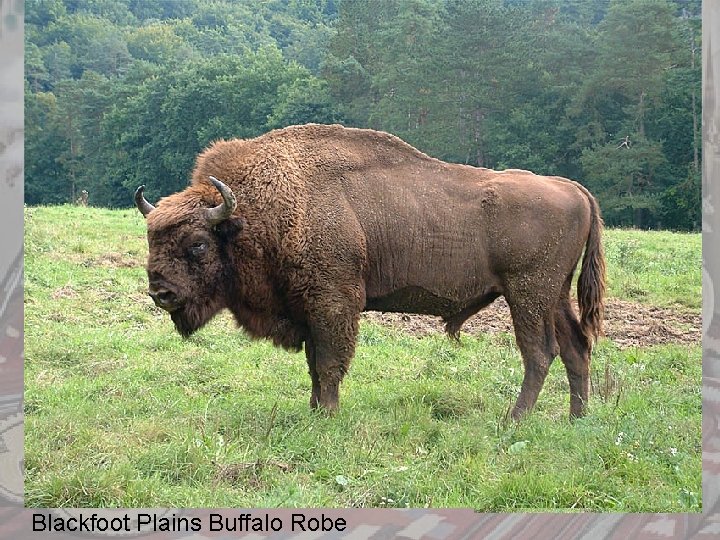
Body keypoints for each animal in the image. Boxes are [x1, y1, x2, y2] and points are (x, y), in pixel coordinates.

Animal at [135, 123, 605, 420]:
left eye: (198, 244)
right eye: (151, 239)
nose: (161, 292)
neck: (255, 214)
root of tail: (573, 188)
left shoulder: (333, 304)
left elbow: (329, 364)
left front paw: (327, 415)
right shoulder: (310, 311)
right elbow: (314, 365)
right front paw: (313, 410)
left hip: (527, 294)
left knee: (539, 353)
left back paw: (515, 419)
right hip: (554, 296)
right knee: (575, 348)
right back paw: (576, 418)